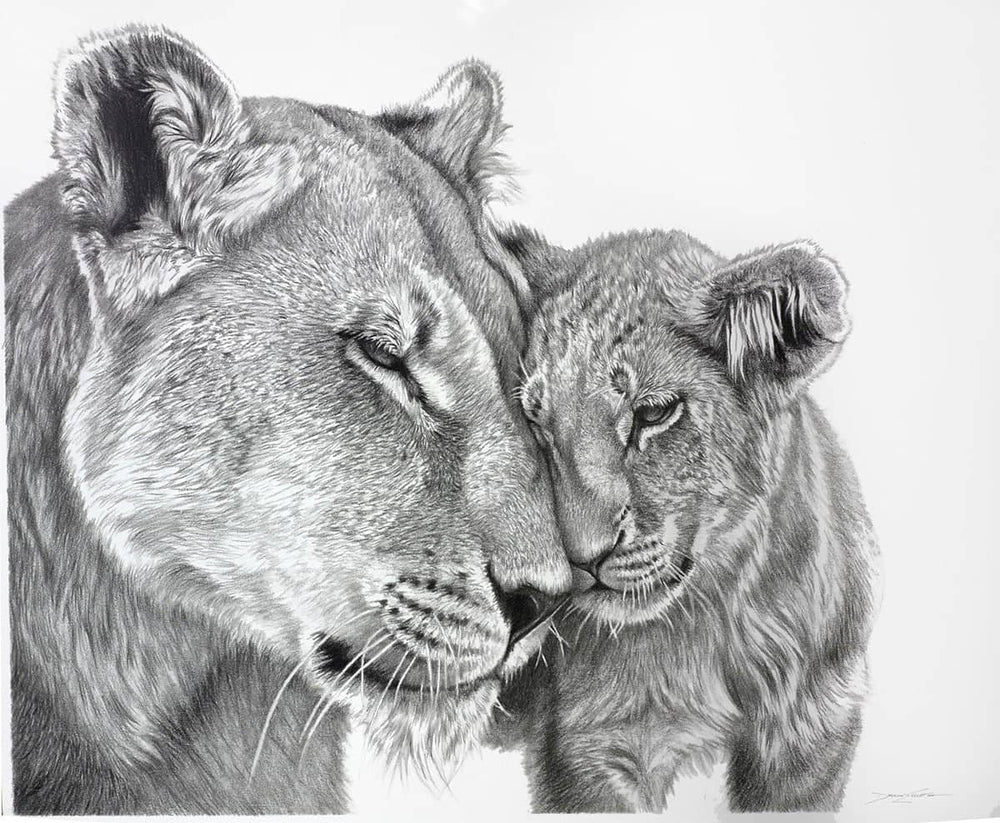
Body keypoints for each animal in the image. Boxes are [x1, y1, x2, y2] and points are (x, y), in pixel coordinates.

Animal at [491, 226, 881, 812]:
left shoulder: (812, 731)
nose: (582, 560)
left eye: (654, 413)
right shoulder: (590, 749)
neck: (719, 621)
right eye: (538, 423)